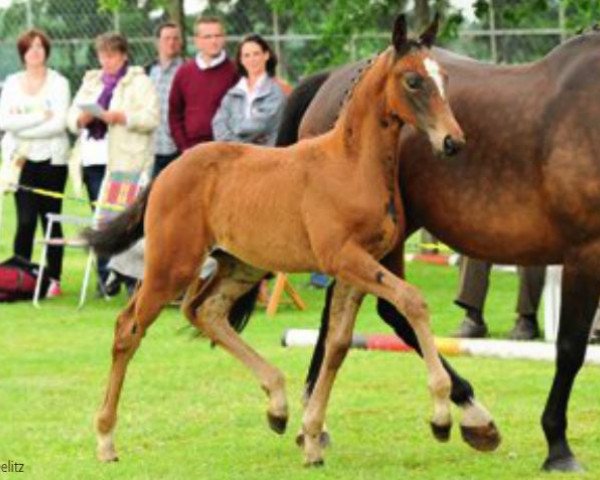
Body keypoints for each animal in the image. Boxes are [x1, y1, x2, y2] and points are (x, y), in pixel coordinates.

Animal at [84, 16, 464, 466]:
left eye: (444, 78)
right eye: (413, 80)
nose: (453, 142)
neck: (352, 165)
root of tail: (165, 172)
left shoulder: (357, 267)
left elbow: (337, 345)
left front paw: (312, 437)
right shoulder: (343, 258)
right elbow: (412, 301)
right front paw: (441, 416)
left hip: (242, 264)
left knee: (205, 311)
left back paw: (278, 405)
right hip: (171, 266)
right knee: (128, 328)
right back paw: (106, 440)